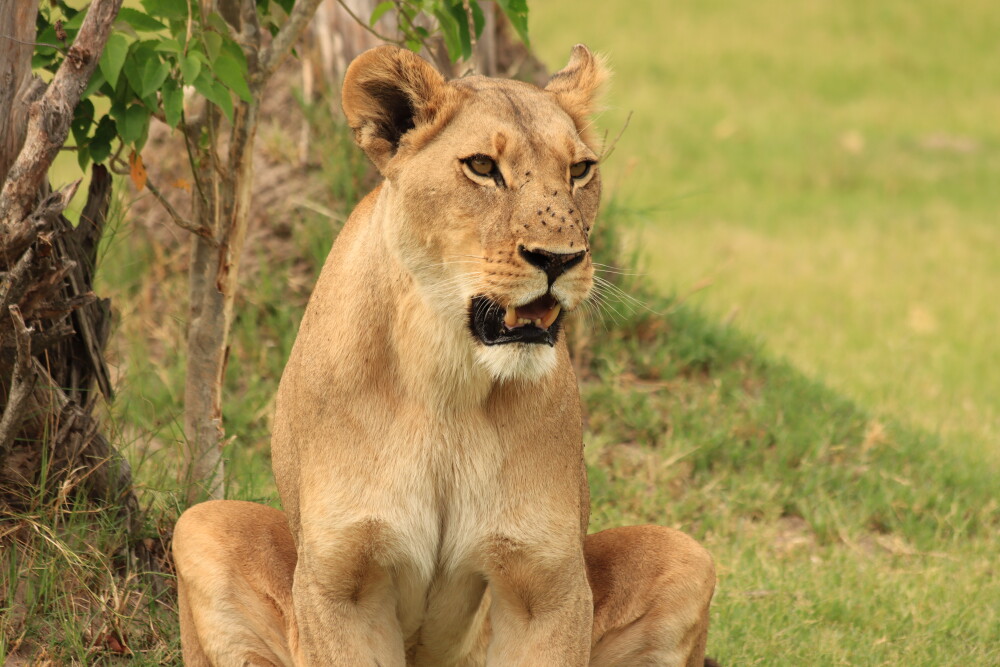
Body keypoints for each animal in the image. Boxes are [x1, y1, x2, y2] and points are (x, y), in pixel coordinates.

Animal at [172, 44, 716, 666]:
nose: (560, 259)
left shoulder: (548, 587)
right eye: (481, 166)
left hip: (684, 554)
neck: (447, 378)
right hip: (203, 523)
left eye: (579, 170)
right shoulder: (338, 584)